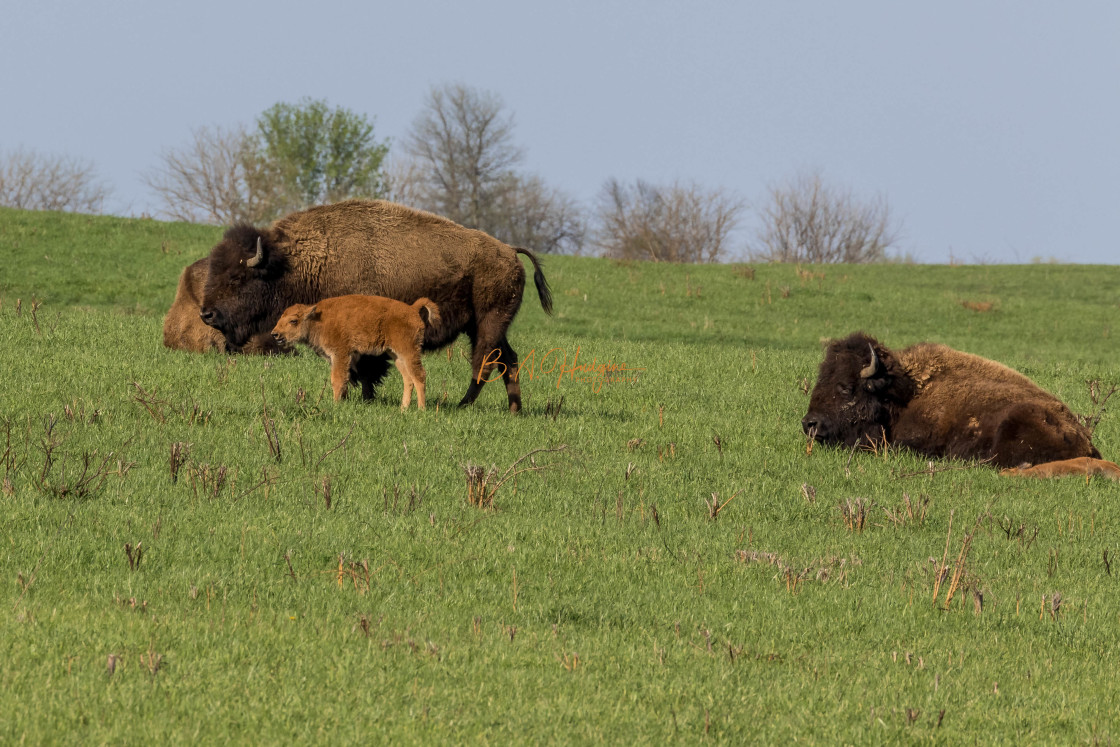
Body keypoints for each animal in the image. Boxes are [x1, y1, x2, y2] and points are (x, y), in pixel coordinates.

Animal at [273, 293, 439, 409]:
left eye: (293, 321)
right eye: (281, 318)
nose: (275, 334)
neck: (317, 319)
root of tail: (412, 309)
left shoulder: (340, 353)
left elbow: (337, 379)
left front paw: (336, 404)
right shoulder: (336, 358)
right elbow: (343, 379)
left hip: (409, 351)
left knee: (419, 376)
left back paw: (421, 409)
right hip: (397, 355)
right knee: (408, 379)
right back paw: (403, 409)